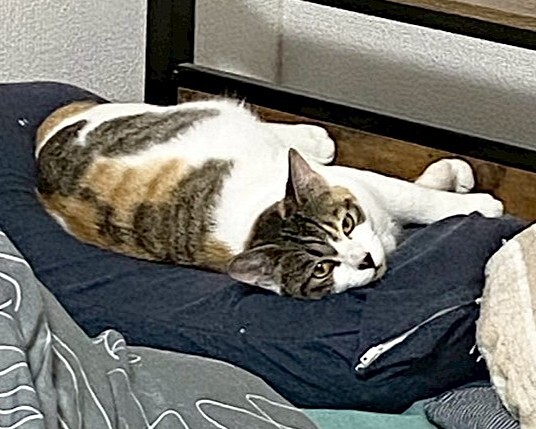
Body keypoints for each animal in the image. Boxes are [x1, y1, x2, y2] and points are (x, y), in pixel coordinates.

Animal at [35, 98, 503, 299]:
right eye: (321, 269)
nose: (366, 260)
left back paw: (312, 140)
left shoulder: (363, 185)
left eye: (346, 225)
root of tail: (47, 140)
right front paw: (482, 204)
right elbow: (422, 200)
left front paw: (458, 185)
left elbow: (417, 194)